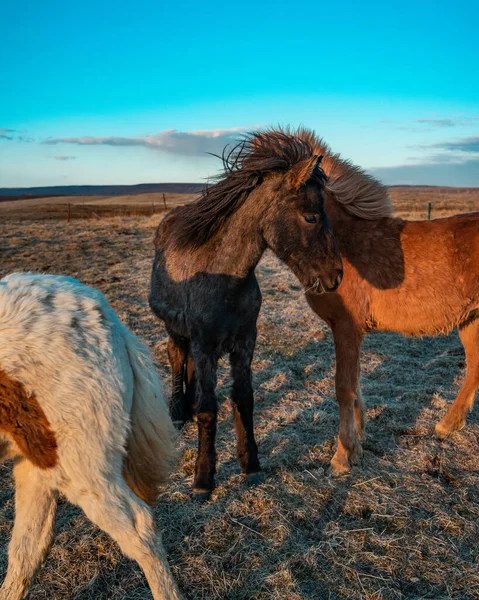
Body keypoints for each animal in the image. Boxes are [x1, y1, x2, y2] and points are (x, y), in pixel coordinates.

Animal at [151, 127, 344, 502]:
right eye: (311, 216)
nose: (336, 276)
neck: (226, 276)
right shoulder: (206, 343)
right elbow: (209, 408)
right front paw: (203, 478)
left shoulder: (244, 342)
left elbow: (243, 399)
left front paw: (250, 464)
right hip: (177, 331)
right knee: (177, 359)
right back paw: (179, 411)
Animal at [292, 130, 479, 474]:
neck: (342, 240)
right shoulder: (350, 332)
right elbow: (354, 385)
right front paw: (358, 439)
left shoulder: (346, 328)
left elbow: (344, 387)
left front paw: (342, 455)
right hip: (470, 319)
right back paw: (446, 425)